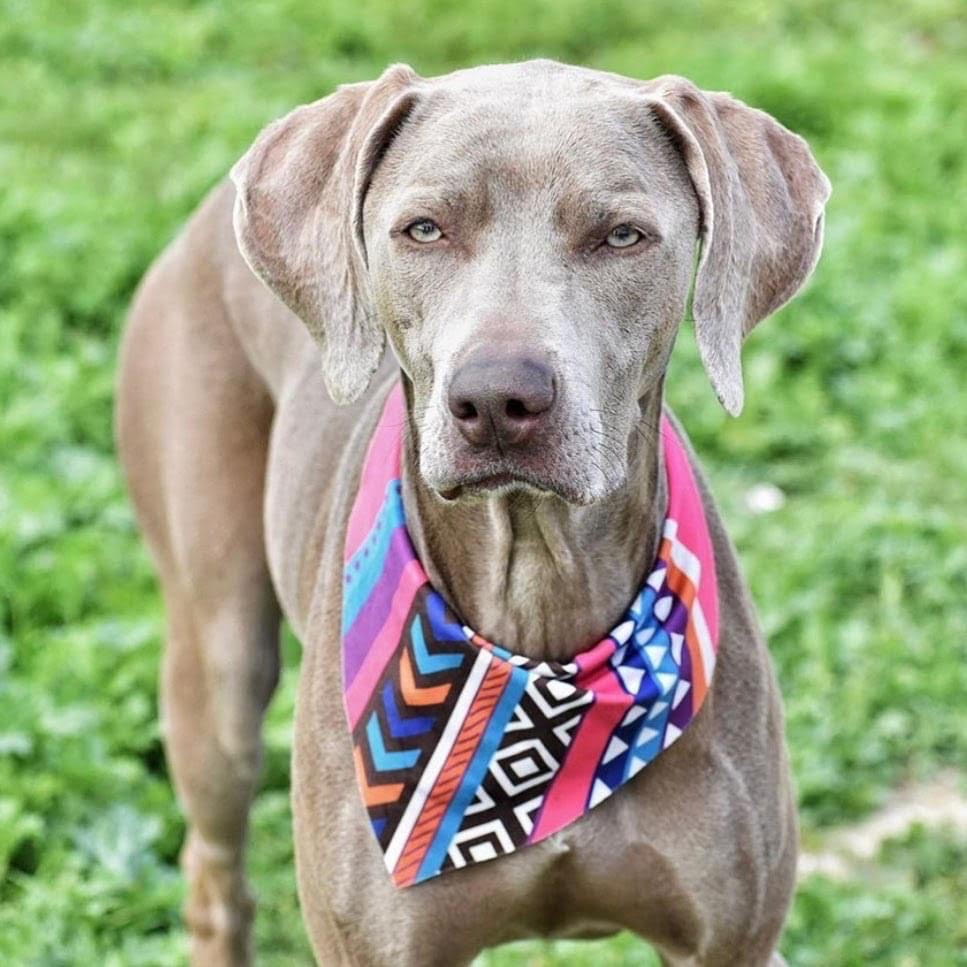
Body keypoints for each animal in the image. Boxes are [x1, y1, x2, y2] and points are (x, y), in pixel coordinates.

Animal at [115, 60, 832, 967]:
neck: (539, 618)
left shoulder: (731, 940)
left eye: (621, 235)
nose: (497, 398)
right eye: (423, 229)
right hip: (219, 666)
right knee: (215, 876)